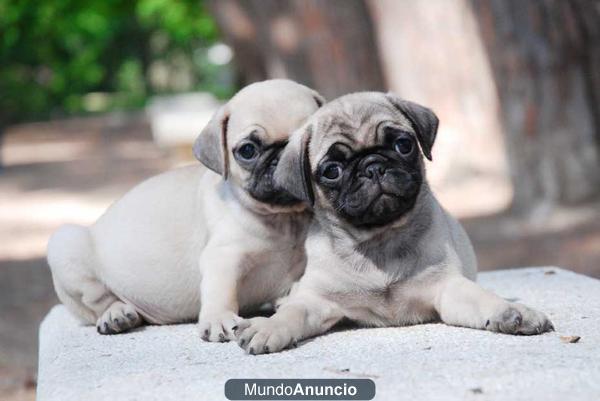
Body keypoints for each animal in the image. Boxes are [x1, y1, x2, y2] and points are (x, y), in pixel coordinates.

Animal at [47, 79, 324, 340]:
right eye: (248, 150)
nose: (284, 158)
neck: (285, 219)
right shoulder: (223, 258)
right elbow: (221, 291)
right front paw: (218, 319)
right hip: (66, 246)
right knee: (98, 301)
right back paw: (116, 314)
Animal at [234, 91, 552, 354]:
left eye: (403, 145)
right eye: (332, 170)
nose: (373, 166)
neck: (379, 240)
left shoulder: (447, 288)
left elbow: (482, 298)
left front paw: (512, 312)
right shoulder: (316, 299)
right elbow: (294, 312)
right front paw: (269, 327)